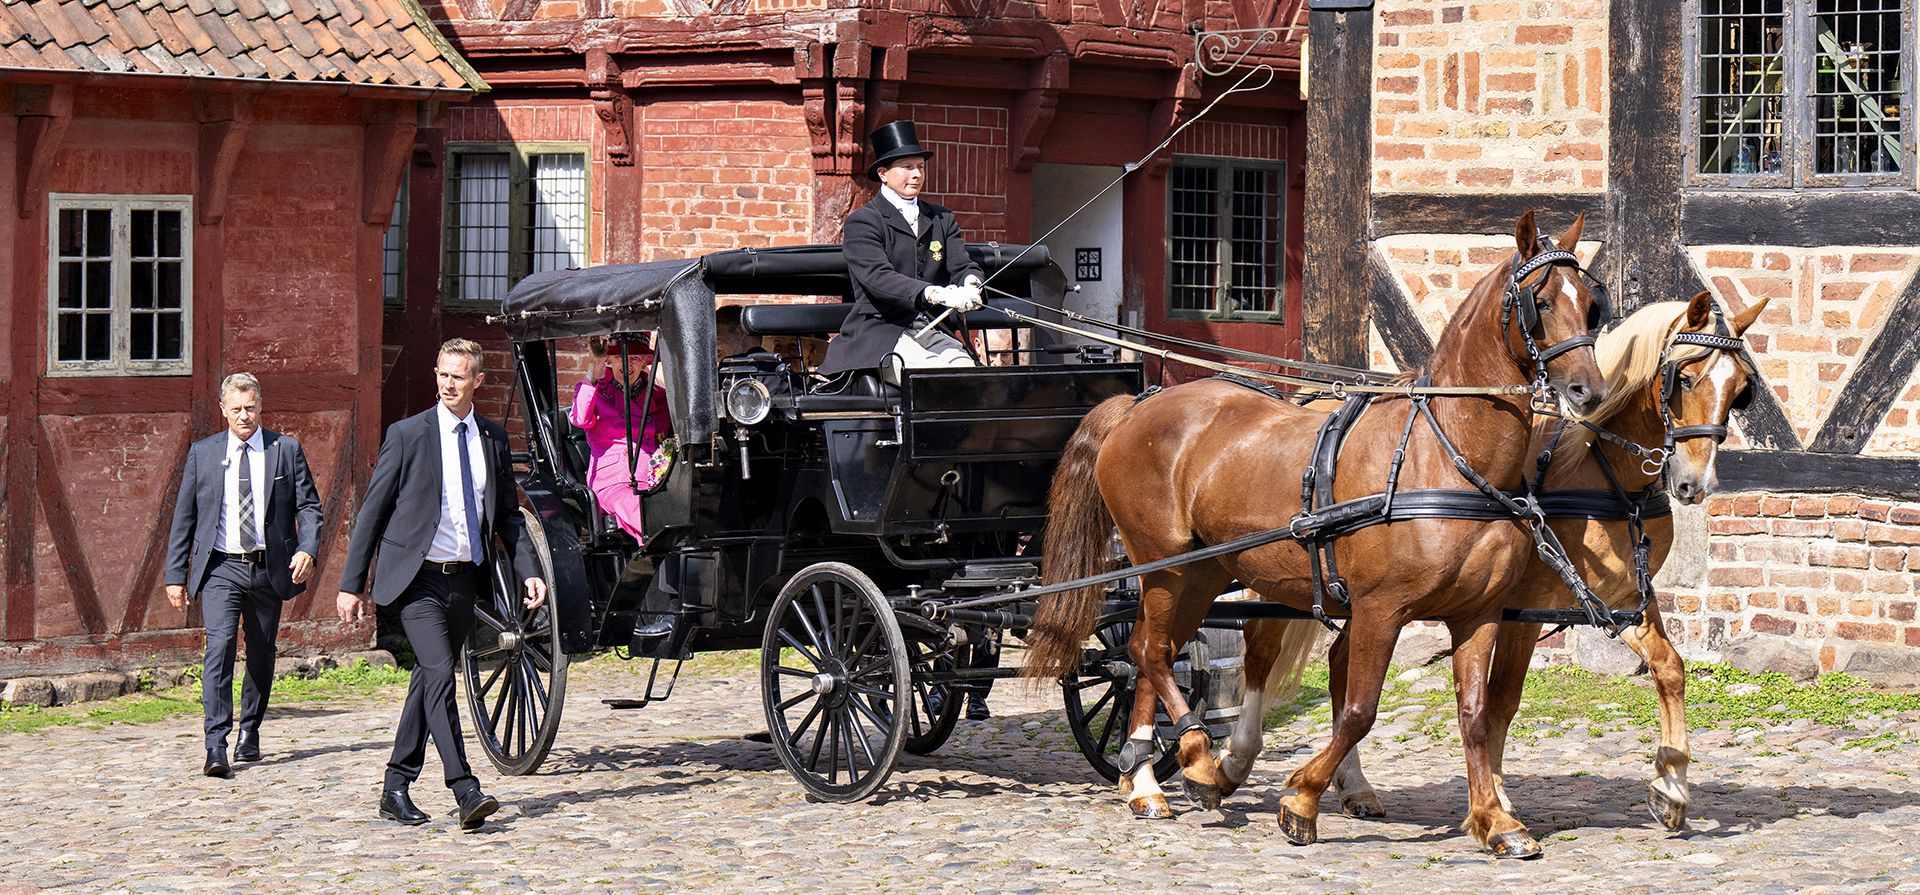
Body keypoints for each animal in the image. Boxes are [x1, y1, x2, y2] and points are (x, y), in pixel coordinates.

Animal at [1024, 211, 1608, 858]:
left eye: (1591, 306)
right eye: (1541, 301)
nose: (1588, 391)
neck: (1446, 453)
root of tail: (1138, 404)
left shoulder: (1477, 612)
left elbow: (1476, 714)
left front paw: (1497, 820)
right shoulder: (1380, 608)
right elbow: (1358, 709)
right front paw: (1300, 800)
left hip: (1202, 572)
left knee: (1148, 652)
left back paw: (1148, 781)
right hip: (1162, 564)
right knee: (1150, 653)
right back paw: (1197, 758)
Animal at [1219, 290, 1770, 838]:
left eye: (1741, 390)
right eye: (1686, 378)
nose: (1696, 484)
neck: (1595, 472)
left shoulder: (1620, 598)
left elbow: (1670, 668)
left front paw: (1670, 786)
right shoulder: (1521, 610)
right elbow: (1502, 700)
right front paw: (1497, 800)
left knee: (1338, 663)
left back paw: (1354, 785)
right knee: (1261, 650)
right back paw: (1233, 761)